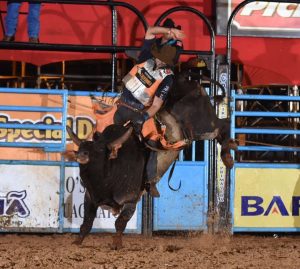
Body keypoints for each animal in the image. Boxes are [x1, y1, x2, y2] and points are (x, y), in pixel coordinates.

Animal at [67, 71, 238, 249]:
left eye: (100, 150)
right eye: (81, 148)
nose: (82, 155)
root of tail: (184, 78)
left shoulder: (130, 199)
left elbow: (120, 222)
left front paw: (117, 243)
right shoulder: (90, 196)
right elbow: (87, 222)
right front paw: (77, 241)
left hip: (204, 124)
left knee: (223, 124)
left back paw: (227, 156)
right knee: (221, 128)